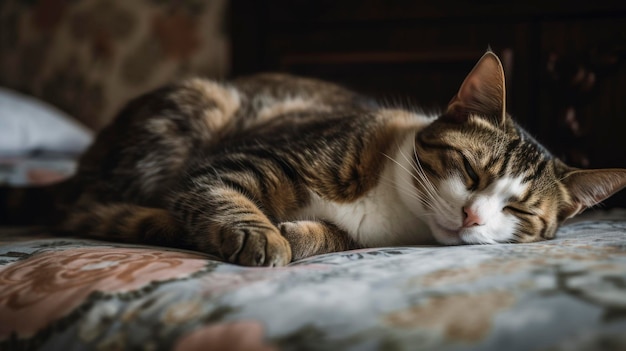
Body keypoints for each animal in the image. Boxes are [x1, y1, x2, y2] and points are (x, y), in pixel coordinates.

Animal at [1, 51, 624, 266]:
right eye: (472, 172)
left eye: (519, 212)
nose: (472, 216)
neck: (395, 208)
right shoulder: (248, 159)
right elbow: (226, 191)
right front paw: (261, 234)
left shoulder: (356, 233)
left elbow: (330, 236)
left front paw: (295, 233)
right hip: (197, 109)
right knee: (88, 205)